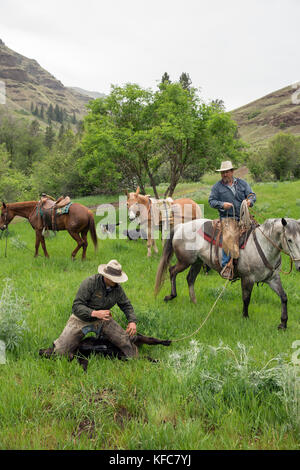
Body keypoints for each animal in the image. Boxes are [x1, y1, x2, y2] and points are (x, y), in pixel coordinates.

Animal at [39, 330, 171, 370]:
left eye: (51, 348)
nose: (39, 351)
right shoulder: (81, 357)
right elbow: (84, 363)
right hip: (132, 356)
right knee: (147, 356)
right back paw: (158, 359)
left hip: (136, 339)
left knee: (152, 339)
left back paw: (166, 342)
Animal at [155, 218, 300, 328]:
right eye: (289, 239)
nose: (299, 265)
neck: (262, 246)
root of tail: (180, 227)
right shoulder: (248, 278)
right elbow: (246, 298)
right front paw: (245, 317)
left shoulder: (273, 278)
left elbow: (284, 297)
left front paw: (283, 323)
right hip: (185, 261)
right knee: (172, 271)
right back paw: (170, 296)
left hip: (197, 262)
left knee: (190, 278)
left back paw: (194, 301)